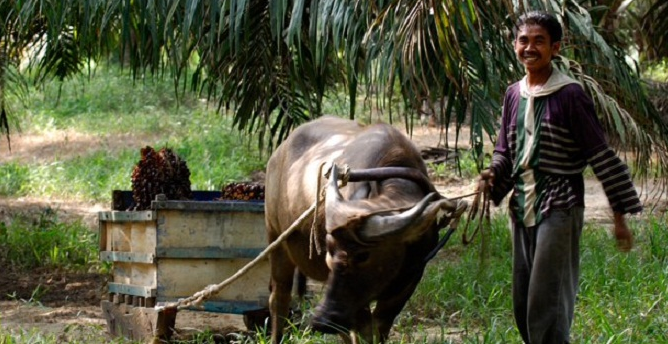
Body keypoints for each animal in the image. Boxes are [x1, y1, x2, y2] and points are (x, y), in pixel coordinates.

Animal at [264, 117, 468, 342]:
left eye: (363, 255)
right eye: (329, 249)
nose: (321, 321)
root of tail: (279, 152)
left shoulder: (409, 279)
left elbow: (379, 327)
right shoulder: (353, 299)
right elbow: (364, 332)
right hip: (275, 237)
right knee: (279, 296)